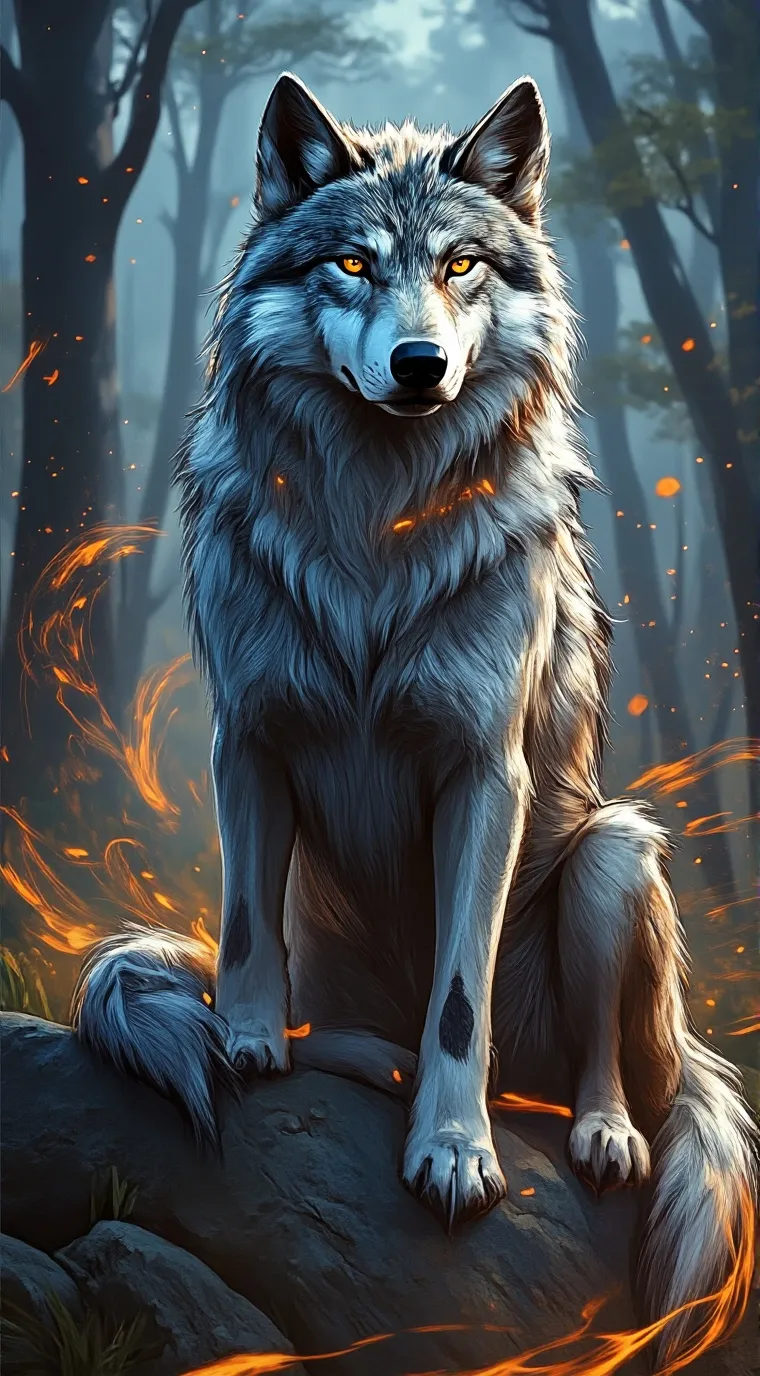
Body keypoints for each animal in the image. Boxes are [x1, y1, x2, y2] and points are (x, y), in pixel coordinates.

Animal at [72, 73, 756, 1367]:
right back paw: (339, 1055)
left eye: (461, 266)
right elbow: (239, 926)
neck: (373, 525)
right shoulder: (247, 739)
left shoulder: (485, 774)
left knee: (610, 1074)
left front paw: (452, 1152)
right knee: (334, 1016)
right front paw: (244, 1042)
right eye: (350, 262)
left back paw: (596, 1130)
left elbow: (456, 1000)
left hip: (612, 853)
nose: (419, 362)